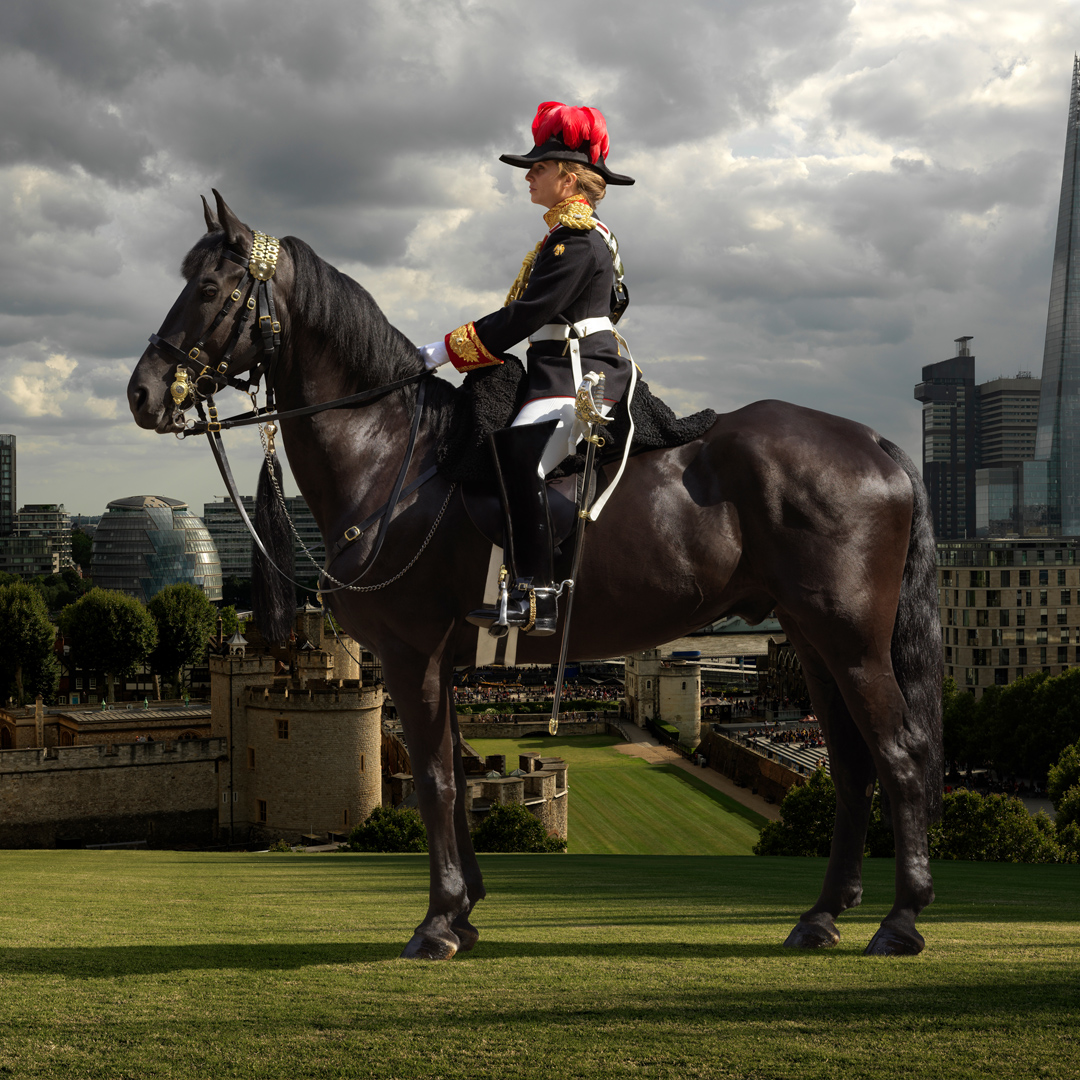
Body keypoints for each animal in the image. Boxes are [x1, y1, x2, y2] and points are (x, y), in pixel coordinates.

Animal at [124, 190, 937, 959]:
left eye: (208, 286)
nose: (142, 391)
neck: (392, 455)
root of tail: (874, 440)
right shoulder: (439, 660)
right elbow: (453, 775)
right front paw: (464, 912)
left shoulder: (409, 649)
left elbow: (435, 779)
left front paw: (438, 923)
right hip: (809, 635)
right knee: (852, 765)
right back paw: (823, 915)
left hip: (851, 638)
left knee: (900, 754)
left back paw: (900, 920)